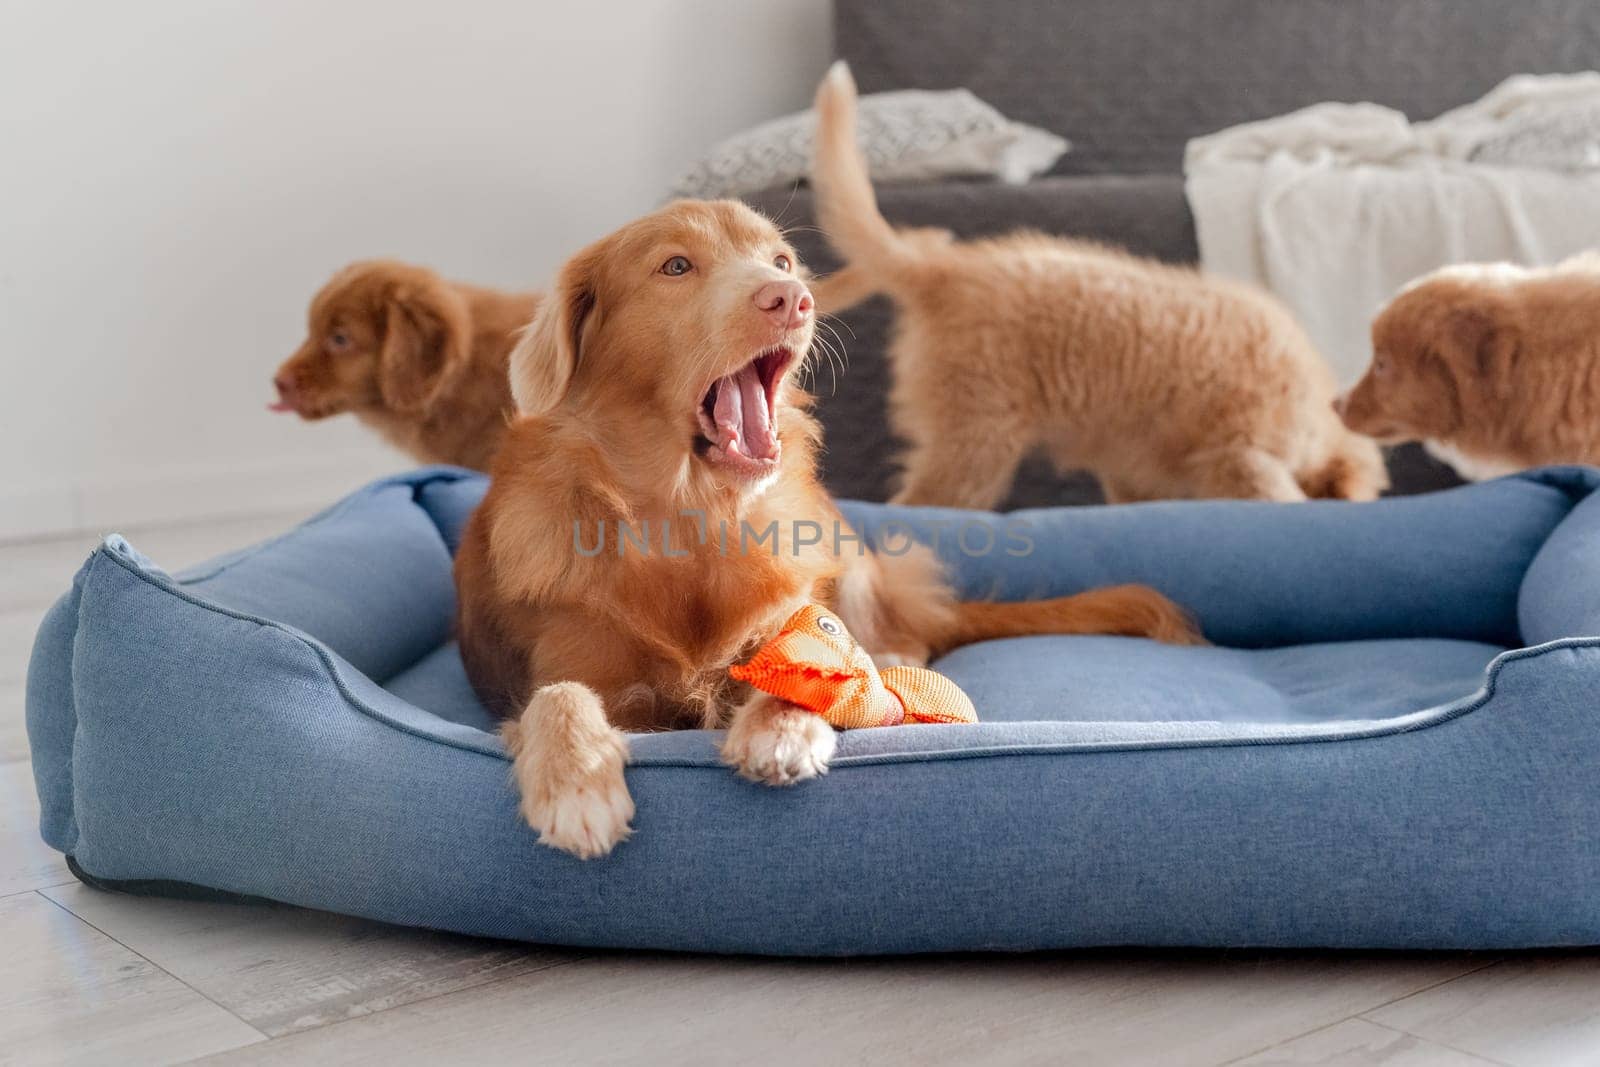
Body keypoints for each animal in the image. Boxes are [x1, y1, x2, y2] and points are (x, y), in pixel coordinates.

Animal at [812, 62, 1388, 508]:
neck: (1313, 411)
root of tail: (944, 268)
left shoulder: (1134, 472)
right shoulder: (1242, 456)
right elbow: (1279, 498)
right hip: (976, 442)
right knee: (918, 508)